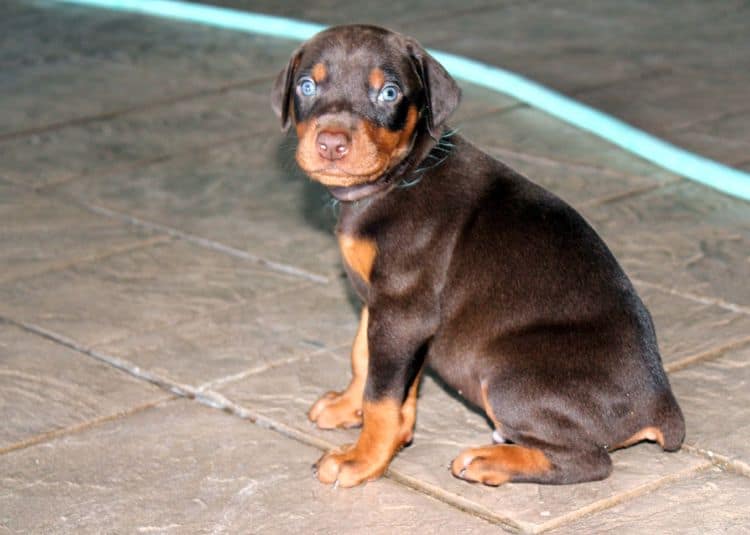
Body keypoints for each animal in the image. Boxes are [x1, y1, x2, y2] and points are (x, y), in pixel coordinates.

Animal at [272, 24, 688, 490]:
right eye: (307, 86)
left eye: (389, 93)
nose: (331, 144)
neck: (401, 178)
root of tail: (660, 405)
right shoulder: (379, 304)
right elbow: (364, 358)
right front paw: (349, 408)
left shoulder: (404, 311)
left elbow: (383, 395)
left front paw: (361, 459)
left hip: (509, 375)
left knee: (590, 462)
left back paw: (490, 461)